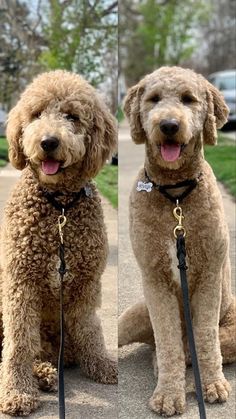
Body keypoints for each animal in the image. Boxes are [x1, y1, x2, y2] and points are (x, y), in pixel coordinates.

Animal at [0, 69, 117, 416]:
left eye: (72, 116)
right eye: (36, 114)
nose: (48, 142)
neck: (60, 207)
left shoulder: (87, 282)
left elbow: (89, 327)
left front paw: (100, 364)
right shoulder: (20, 284)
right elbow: (19, 343)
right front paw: (18, 391)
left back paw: (51, 370)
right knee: (24, 349)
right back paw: (41, 375)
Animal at [119, 66, 236, 416]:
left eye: (188, 99)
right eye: (154, 99)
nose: (169, 125)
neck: (175, 197)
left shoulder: (209, 276)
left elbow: (206, 338)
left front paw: (212, 385)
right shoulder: (155, 281)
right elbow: (167, 339)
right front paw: (168, 395)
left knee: (195, 346)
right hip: (133, 316)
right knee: (155, 345)